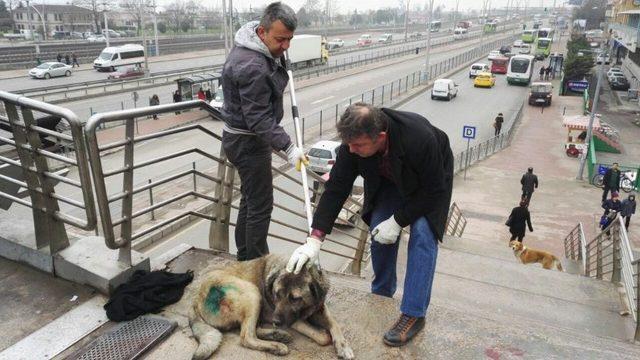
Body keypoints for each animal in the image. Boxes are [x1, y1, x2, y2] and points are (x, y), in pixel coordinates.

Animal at [188, 255, 356, 358]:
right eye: (276, 294)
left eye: (295, 299)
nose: (275, 322)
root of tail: (196, 299)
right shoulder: (292, 320)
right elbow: (323, 337)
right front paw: (324, 335)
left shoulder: (320, 307)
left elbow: (335, 325)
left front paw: (343, 346)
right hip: (253, 292)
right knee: (246, 337)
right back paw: (276, 345)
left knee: (250, 329)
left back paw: (277, 335)